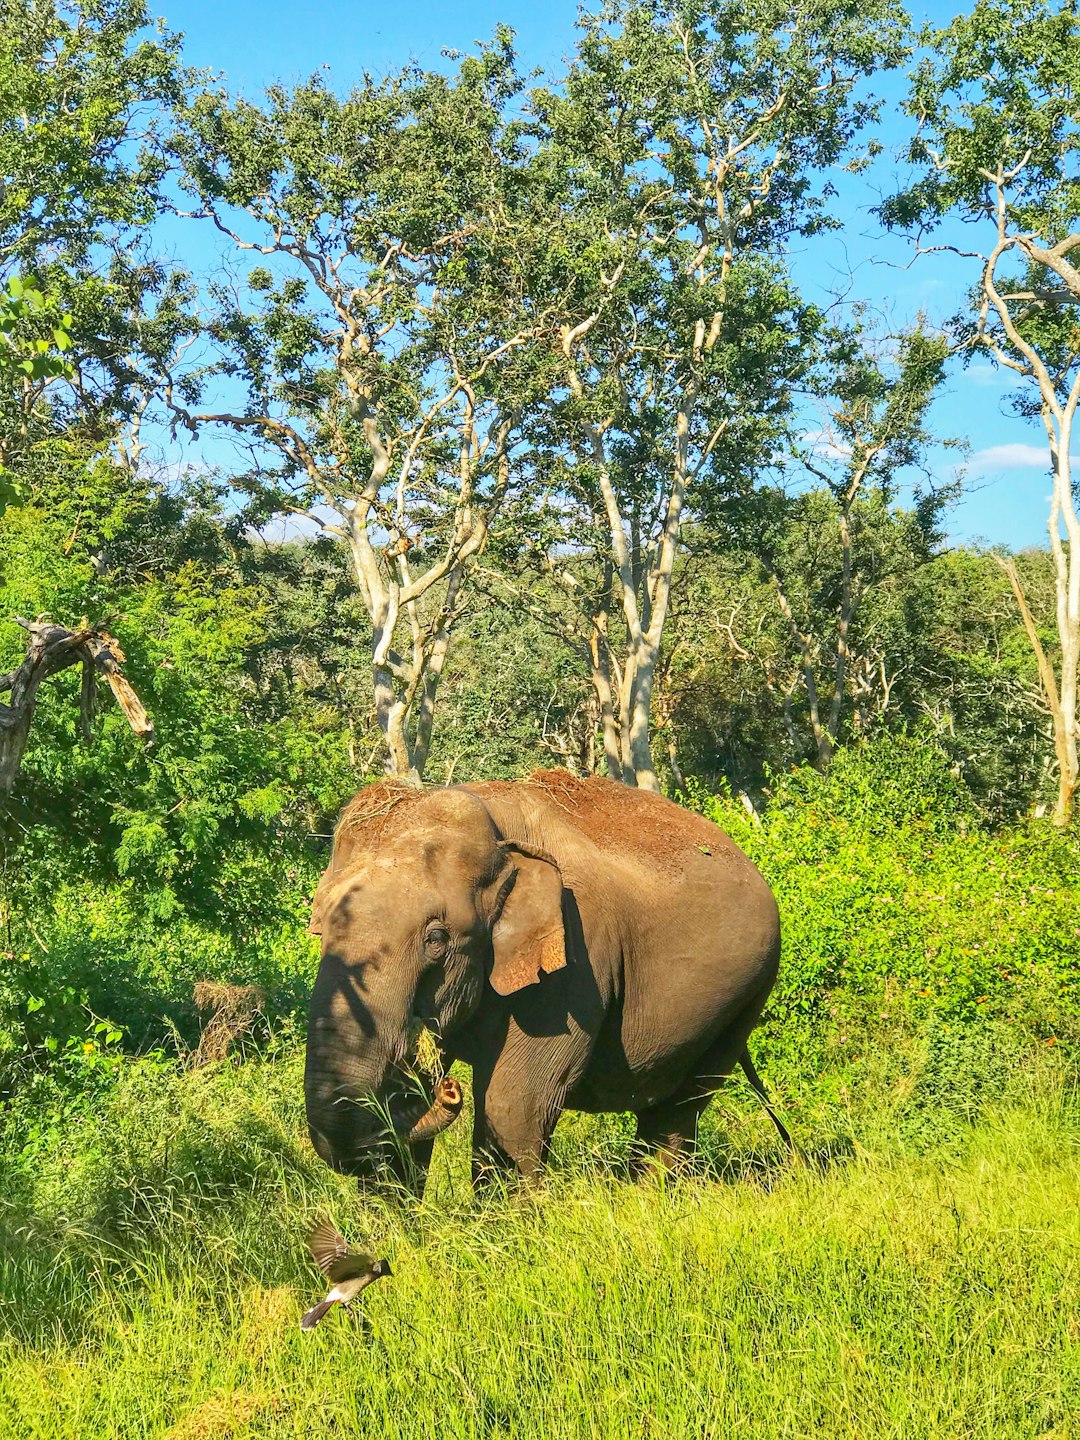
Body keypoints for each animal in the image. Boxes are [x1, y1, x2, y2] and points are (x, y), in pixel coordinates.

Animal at [300, 771, 789, 1186]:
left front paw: (510, 1228)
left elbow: (512, 1104)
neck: (495, 824)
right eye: (320, 929)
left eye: (435, 939)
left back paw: (650, 1199)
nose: (448, 1088)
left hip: (747, 993)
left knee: (681, 1106)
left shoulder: (577, 957)